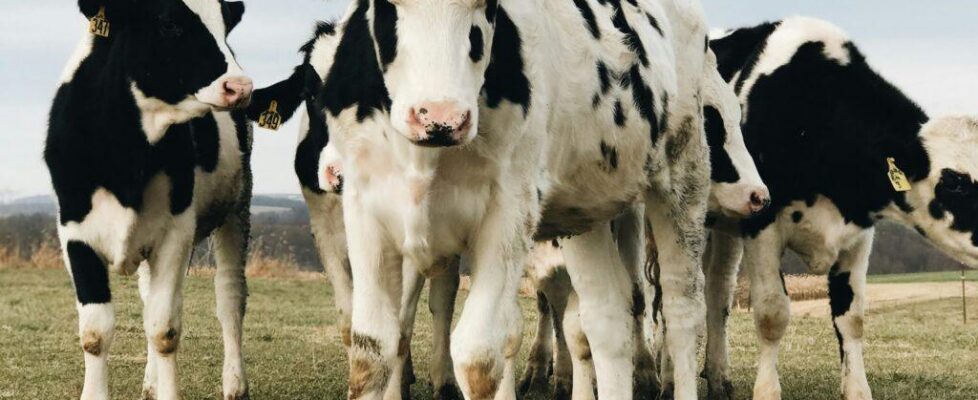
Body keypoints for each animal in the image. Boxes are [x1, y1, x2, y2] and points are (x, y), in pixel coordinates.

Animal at [44, 1, 253, 399]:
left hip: (238, 206)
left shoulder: (175, 231)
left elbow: (164, 330)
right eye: (168, 23)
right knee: (148, 299)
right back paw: (151, 382)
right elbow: (95, 332)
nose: (240, 86)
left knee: (230, 296)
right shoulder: (74, 232)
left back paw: (235, 383)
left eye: (226, 26)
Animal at [699, 16, 978, 400]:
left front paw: (857, 390)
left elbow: (852, 318)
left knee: (717, 291)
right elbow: (772, 313)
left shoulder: (857, 235)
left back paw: (718, 376)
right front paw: (767, 390)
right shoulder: (762, 225)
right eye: (955, 182)